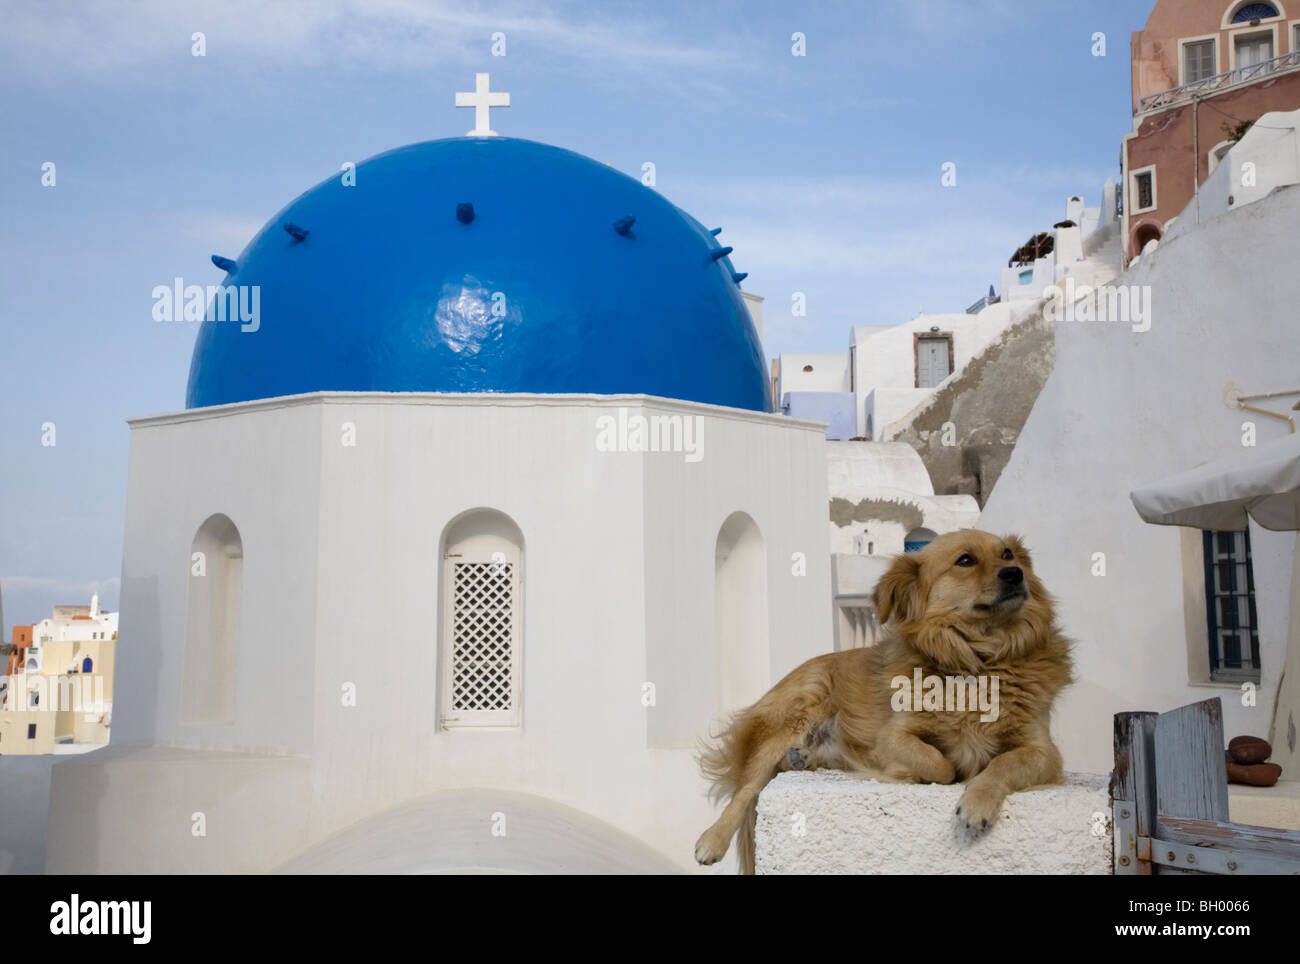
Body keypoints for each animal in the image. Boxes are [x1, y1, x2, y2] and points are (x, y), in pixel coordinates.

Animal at [696, 527, 1071, 878]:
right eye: (965, 560)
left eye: (1008, 554)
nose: (1015, 573)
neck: (979, 659)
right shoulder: (891, 738)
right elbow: (940, 765)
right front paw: (932, 772)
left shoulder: (1044, 752)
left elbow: (1002, 764)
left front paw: (978, 801)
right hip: (797, 709)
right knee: (746, 789)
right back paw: (712, 839)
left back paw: (801, 758)